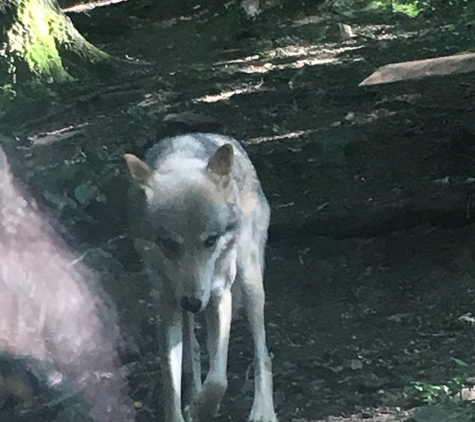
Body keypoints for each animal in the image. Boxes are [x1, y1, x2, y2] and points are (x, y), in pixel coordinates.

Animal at [124, 133, 278, 422]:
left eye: (211, 240)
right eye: (168, 244)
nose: (193, 302)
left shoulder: (219, 297)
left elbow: (218, 379)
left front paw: (202, 407)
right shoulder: (169, 305)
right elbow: (171, 384)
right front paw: (190, 406)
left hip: (250, 282)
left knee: (262, 353)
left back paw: (263, 411)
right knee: (193, 351)